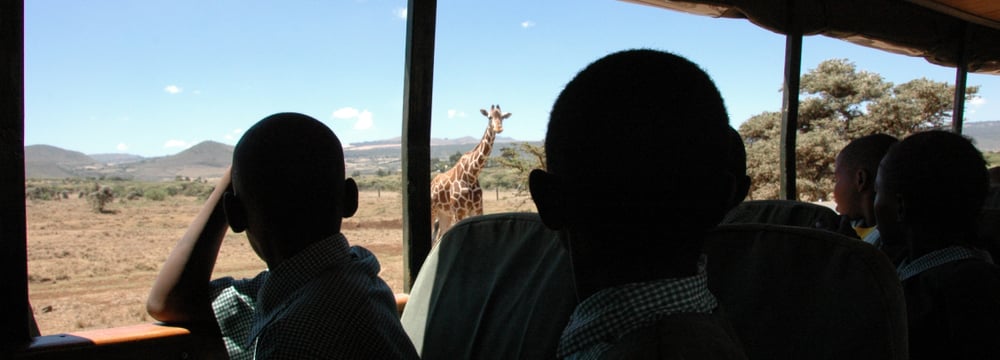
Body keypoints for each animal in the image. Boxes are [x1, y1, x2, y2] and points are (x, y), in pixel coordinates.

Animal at [430, 104, 512, 242]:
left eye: (502, 117)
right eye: (489, 117)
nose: (499, 128)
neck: (471, 174)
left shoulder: (477, 208)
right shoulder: (459, 211)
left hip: (444, 213)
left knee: (439, 237)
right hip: (434, 210)